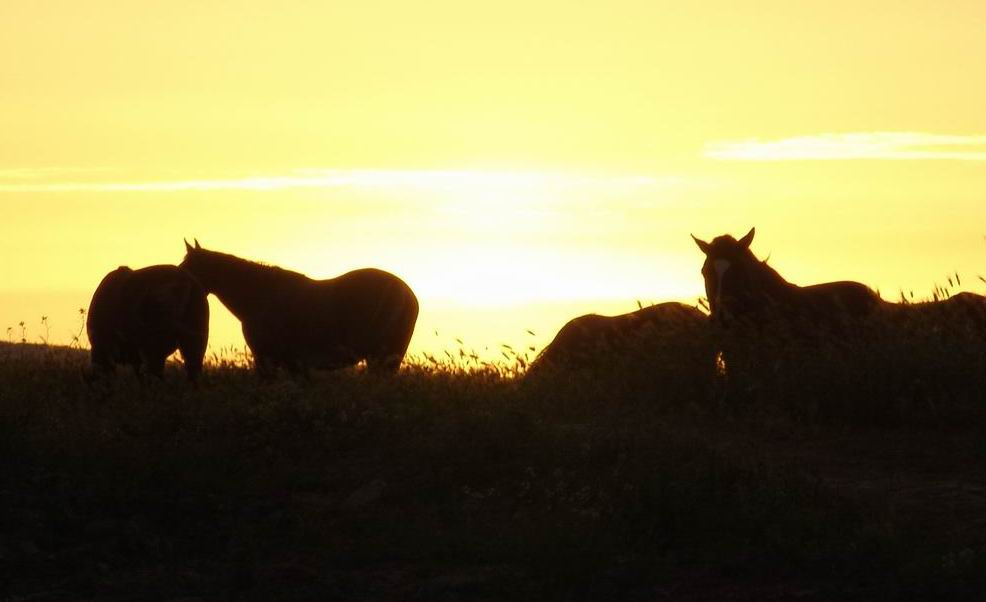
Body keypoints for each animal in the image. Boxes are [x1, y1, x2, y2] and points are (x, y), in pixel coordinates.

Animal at [179, 240, 419, 376]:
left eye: (187, 266)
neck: (259, 297)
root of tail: (409, 295)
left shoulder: (266, 359)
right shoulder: (294, 364)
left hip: (383, 357)